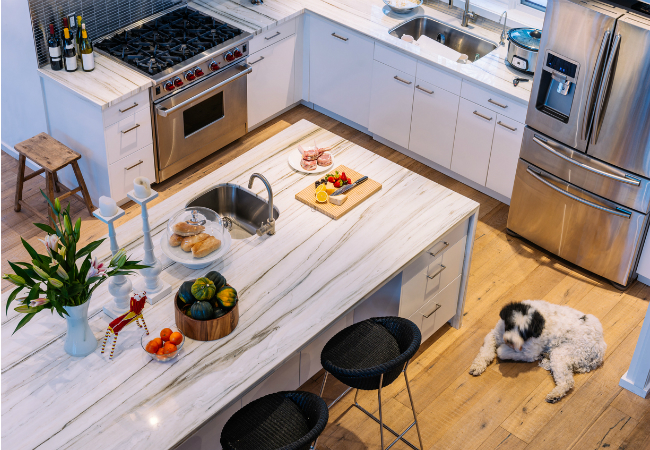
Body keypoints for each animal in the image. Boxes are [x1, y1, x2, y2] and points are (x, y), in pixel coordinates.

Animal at [468, 300, 604, 402]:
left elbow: (503, 351)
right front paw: (478, 366)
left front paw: (503, 349)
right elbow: (485, 351)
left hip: (562, 353)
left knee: (567, 382)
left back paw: (555, 395)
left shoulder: (530, 353)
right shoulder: (494, 335)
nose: (510, 341)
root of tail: (599, 351)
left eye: (524, 332)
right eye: (510, 325)